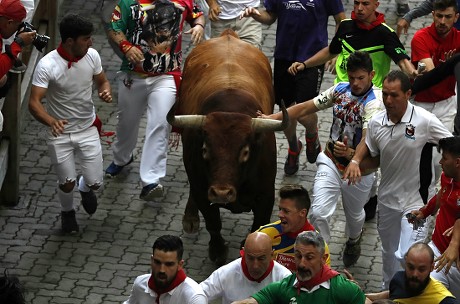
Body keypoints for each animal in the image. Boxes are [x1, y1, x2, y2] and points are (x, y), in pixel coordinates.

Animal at [167, 29, 286, 266]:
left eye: (245, 152)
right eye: (204, 149)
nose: (221, 192)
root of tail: (228, 35)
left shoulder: (266, 195)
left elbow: (257, 227)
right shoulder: (203, 191)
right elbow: (213, 223)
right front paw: (217, 250)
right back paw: (190, 218)